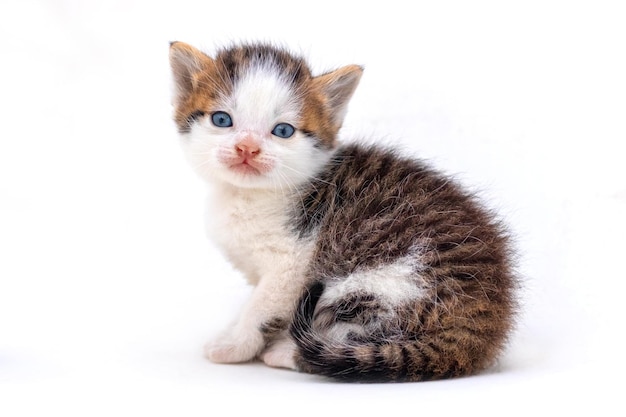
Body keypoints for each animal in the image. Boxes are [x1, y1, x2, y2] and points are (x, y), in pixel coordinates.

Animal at [168, 41, 516, 380]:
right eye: (222, 120)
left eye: (283, 131)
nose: (247, 148)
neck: (247, 193)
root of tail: (481, 328)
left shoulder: (293, 264)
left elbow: (261, 308)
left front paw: (236, 344)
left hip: (380, 282)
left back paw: (288, 352)